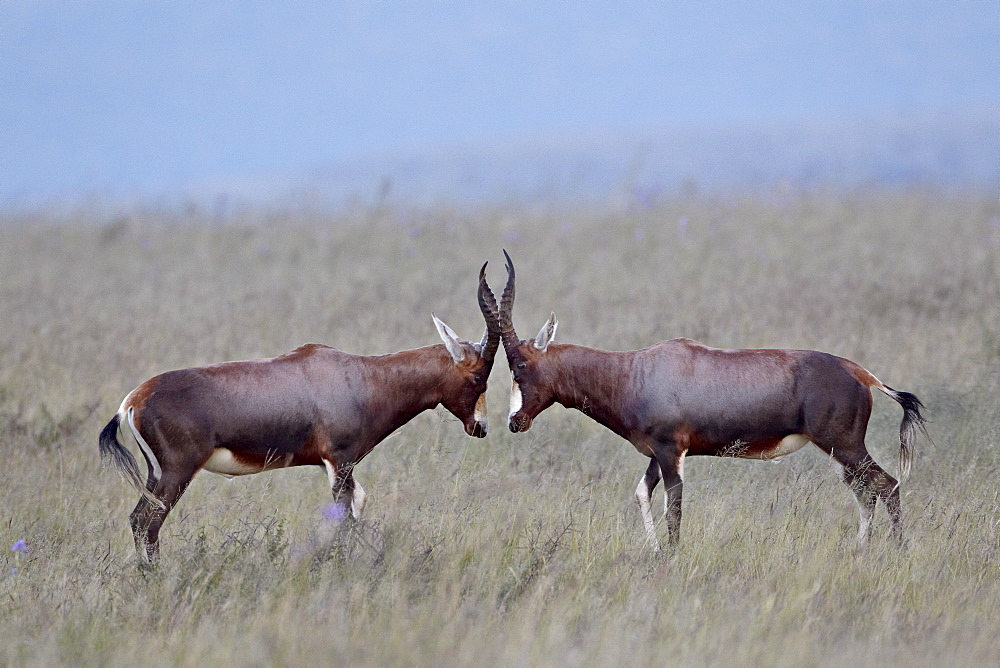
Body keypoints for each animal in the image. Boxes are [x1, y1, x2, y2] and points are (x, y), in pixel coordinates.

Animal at [101, 264, 500, 560]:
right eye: (479, 376)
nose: (480, 427)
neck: (359, 375)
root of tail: (131, 402)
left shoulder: (336, 466)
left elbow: (358, 506)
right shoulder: (340, 461)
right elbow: (345, 518)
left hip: (156, 473)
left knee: (136, 520)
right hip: (177, 472)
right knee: (148, 524)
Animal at [492, 253, 928, 552]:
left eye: (520, 364)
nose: (515, 422)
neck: (635, 370)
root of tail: (861, 373)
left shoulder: (671, 451)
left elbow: (674, 505)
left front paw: (670, 557)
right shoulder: (657, 453)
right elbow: (642, 494)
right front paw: (654, 552)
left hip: (844, 445)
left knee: (886, 486)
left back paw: (896, 550)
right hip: (842, 453)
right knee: (864, 492)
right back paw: (860, 551)